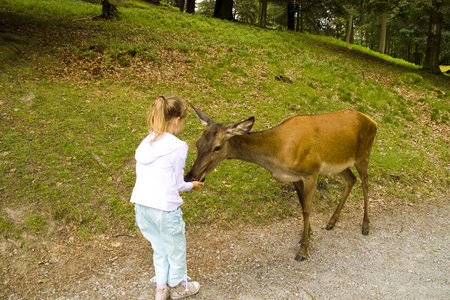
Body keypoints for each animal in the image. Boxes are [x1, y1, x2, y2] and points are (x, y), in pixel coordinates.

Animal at [185, 105, 378, 260]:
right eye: (197, 142)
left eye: (217, 147)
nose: (190, 176)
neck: (278, 154)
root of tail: (373, 121)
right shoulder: (295, 177)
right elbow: (301, 204)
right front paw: (307, 234)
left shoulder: (311, 172)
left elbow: (307, 209)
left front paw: (303, 250)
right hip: (341, 164)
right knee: (351, 180)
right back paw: (332, 221)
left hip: (364, 154)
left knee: (365, 183)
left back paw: (365, 225)